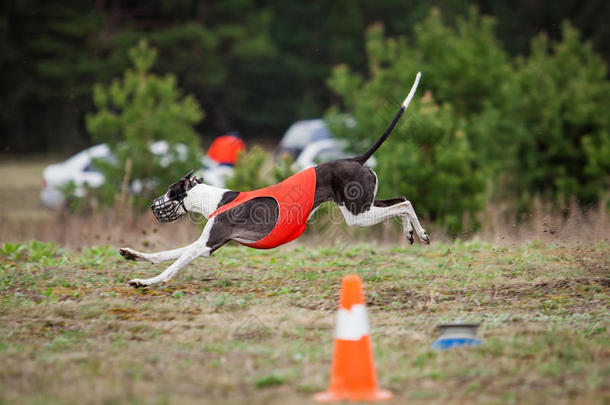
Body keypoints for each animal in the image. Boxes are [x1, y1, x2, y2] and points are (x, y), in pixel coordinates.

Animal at [120, 72, 428, 288]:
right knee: (402, 200)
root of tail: (355, 159)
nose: (153, 205)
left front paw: (144, 282)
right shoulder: (205, 243)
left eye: (170, 192)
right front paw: (131, 254)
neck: (212, 199)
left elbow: (170, 267)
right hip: (365, 203)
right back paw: (411, 232)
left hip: (357, 215)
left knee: (404, 204)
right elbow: (164, 254)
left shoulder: (205, 246)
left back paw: (421, 233)